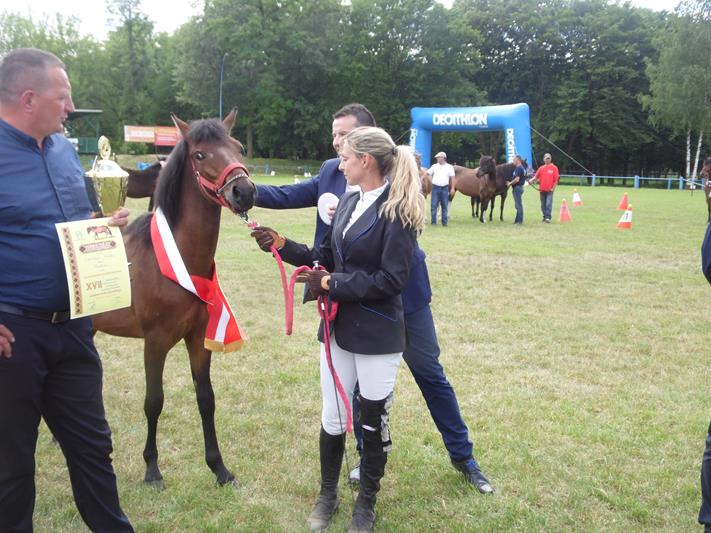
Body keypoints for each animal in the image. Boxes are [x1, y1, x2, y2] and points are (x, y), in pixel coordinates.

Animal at [92, 109, 256, 490]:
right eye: (200, 155)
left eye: (239, 148)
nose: (243, 190)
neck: (177, 260)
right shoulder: (154, 343)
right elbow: (154, 402)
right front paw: (152, 469)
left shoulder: (197, 340)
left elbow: (206, 399)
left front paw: (219, 468)